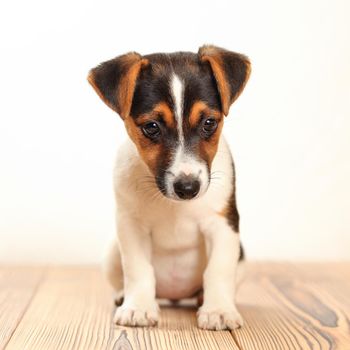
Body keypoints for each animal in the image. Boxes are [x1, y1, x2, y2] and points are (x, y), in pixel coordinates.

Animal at [89, 45, 250, 330]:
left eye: (209, 123)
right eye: (151, 127)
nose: (188, 188)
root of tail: (175, 296)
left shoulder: (222, 224)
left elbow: (218, 269)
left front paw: (219, 310)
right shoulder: (131, 226)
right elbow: (138, 269)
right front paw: (138, 308)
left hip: (241, 257)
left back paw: (203, 299)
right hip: (111, 253)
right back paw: (125, 297)